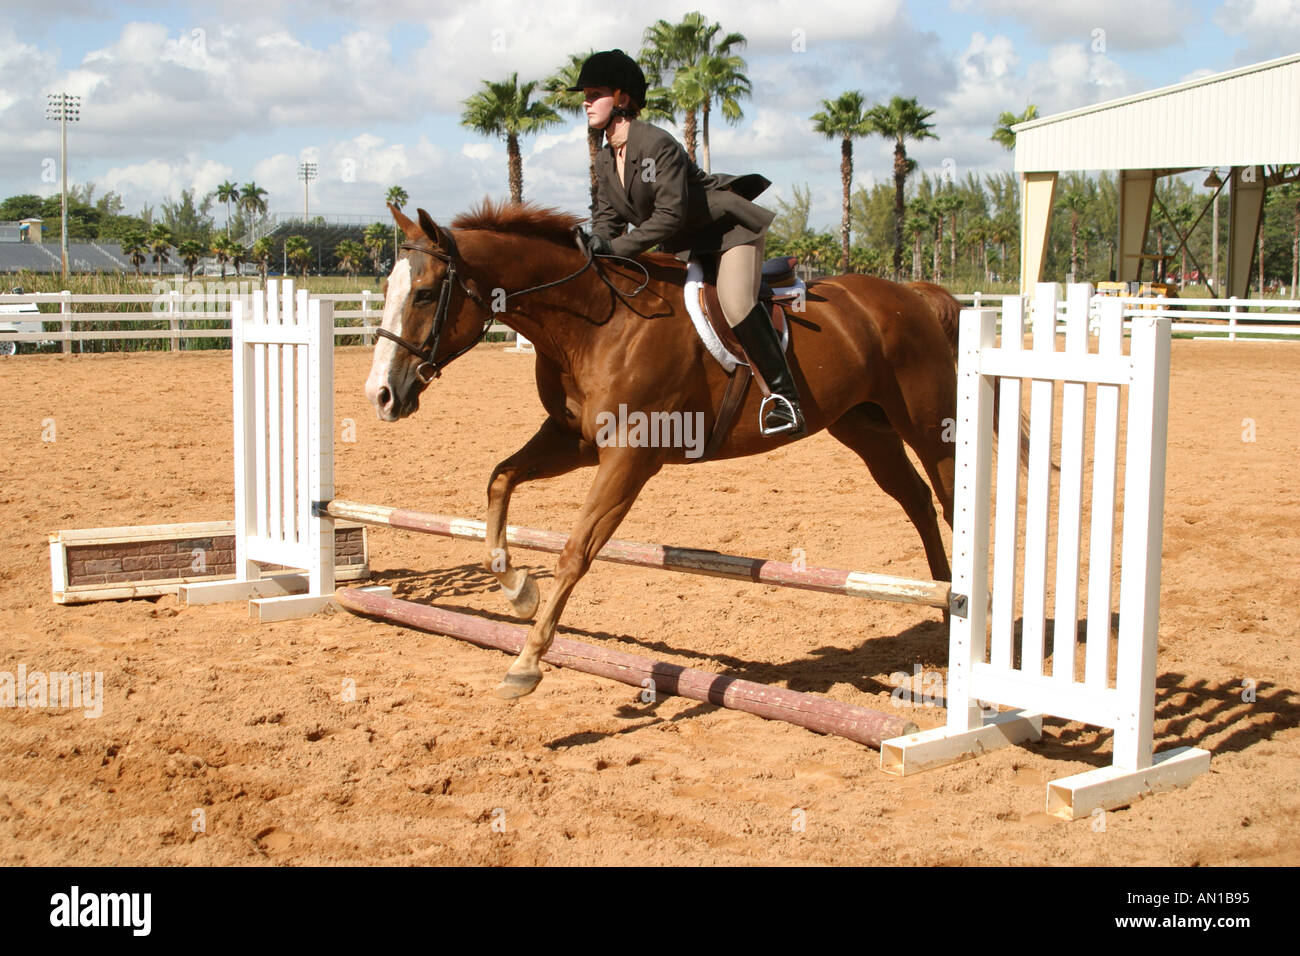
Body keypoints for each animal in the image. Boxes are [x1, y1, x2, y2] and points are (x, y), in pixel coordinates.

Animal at [364, 199, 961, 699]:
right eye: (390, 291)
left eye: (424, 293)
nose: (381, 395)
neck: (593, 321)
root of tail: (915, 294)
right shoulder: (573, 440)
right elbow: (501, 478)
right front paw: (517, 591)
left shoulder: (629, 457)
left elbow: (574, 552)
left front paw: (526, 664)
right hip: (864, 427)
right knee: (914, 498)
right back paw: (941, 601)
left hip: (930, 424)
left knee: (950, 497)